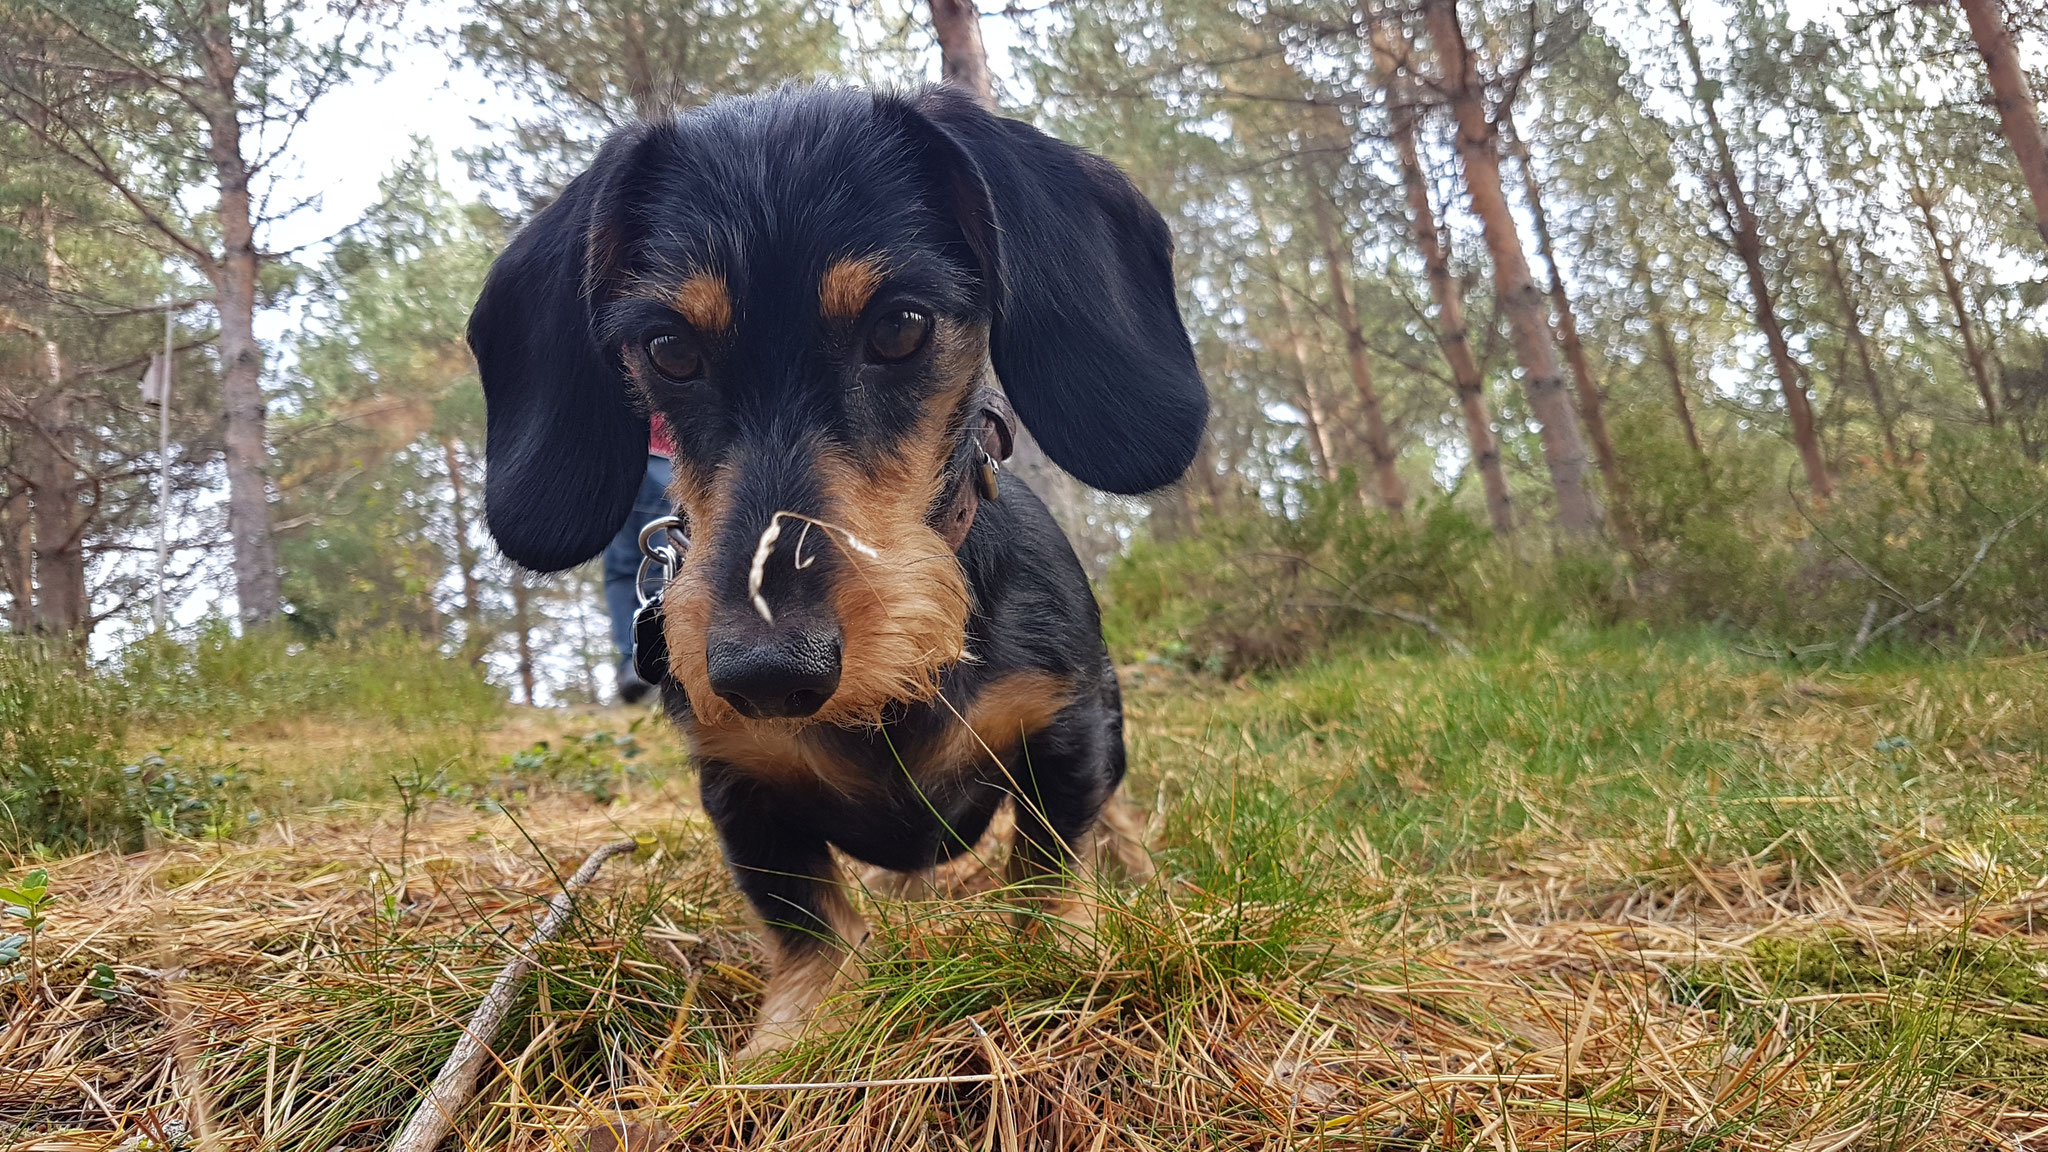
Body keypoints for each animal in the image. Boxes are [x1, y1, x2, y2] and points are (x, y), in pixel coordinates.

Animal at [471, 85, 1204, 1057]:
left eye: (900, 326)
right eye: (667, 349)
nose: (767, 673)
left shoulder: (1066, 725)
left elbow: (1050, 867)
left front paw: (1063, 961)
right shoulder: (739, 787)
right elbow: (806, 922)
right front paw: (792, 1037)